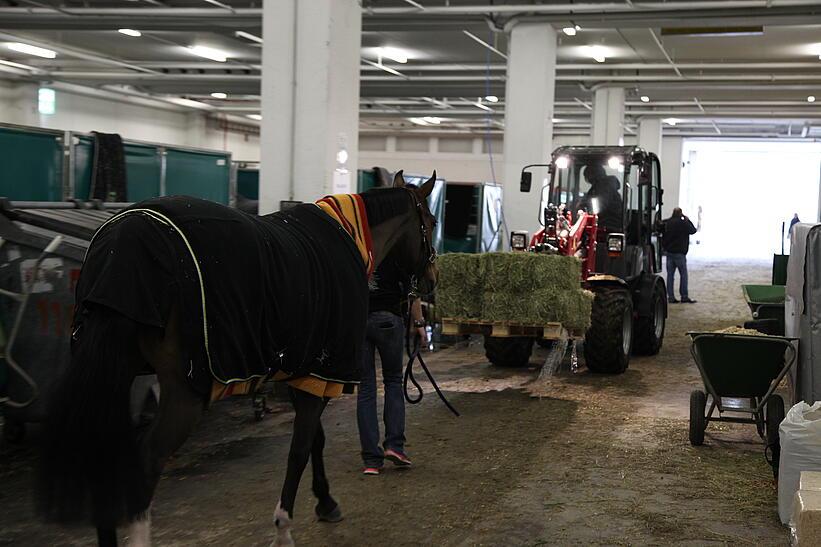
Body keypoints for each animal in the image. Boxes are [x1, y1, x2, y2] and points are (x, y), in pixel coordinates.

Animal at [35, 169, 438, 544]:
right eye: (431, 223)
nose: (432, 281)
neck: (351, 234)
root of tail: (125, 239)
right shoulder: (322, 373)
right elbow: (299, 449)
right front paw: (283, 528)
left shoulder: (302, 370)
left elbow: (315, 442)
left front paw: (326, 502)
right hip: (184, 393)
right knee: (147, 460)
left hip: (114, 374)